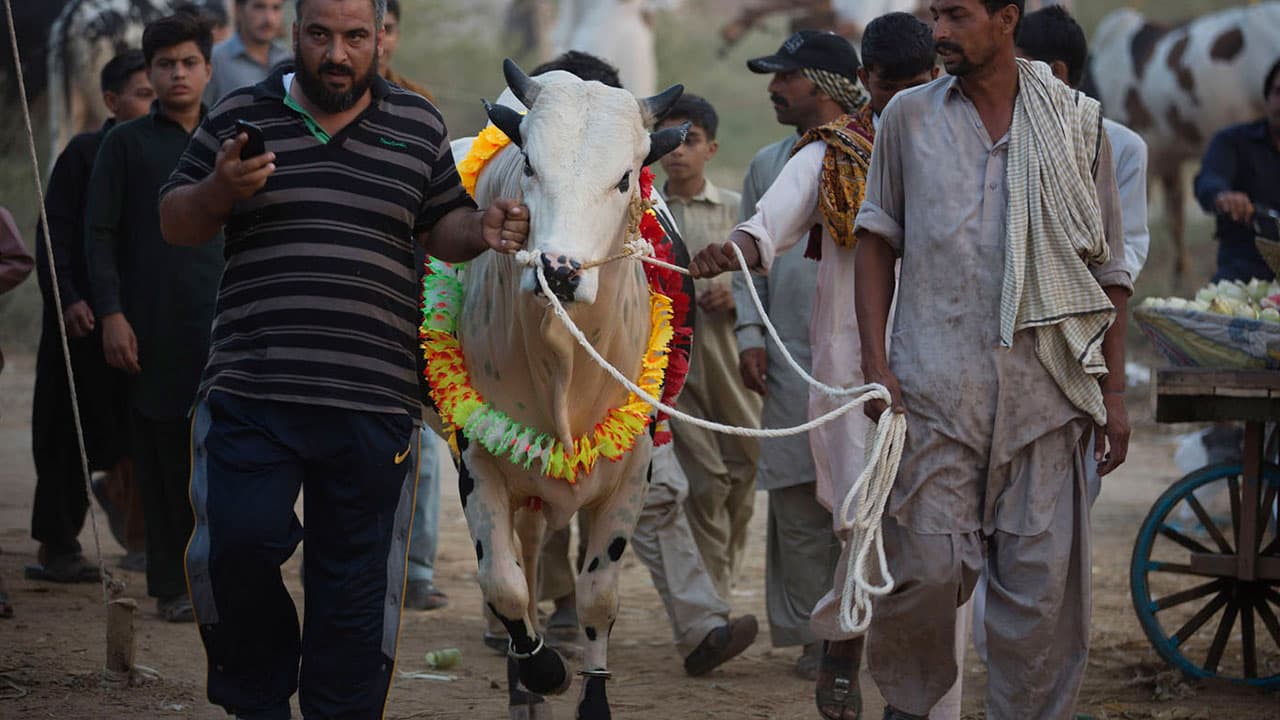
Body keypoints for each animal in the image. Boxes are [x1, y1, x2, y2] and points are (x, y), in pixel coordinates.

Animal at [445, 61, 686, 717]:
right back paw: (523, 683)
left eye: (625, 178)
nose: (558, 270)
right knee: (520, 570)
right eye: (530, 164)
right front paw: (542, 670)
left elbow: (598, 595)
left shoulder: (631, 473)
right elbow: (501, 583)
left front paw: (592, 696)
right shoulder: (477, 458)